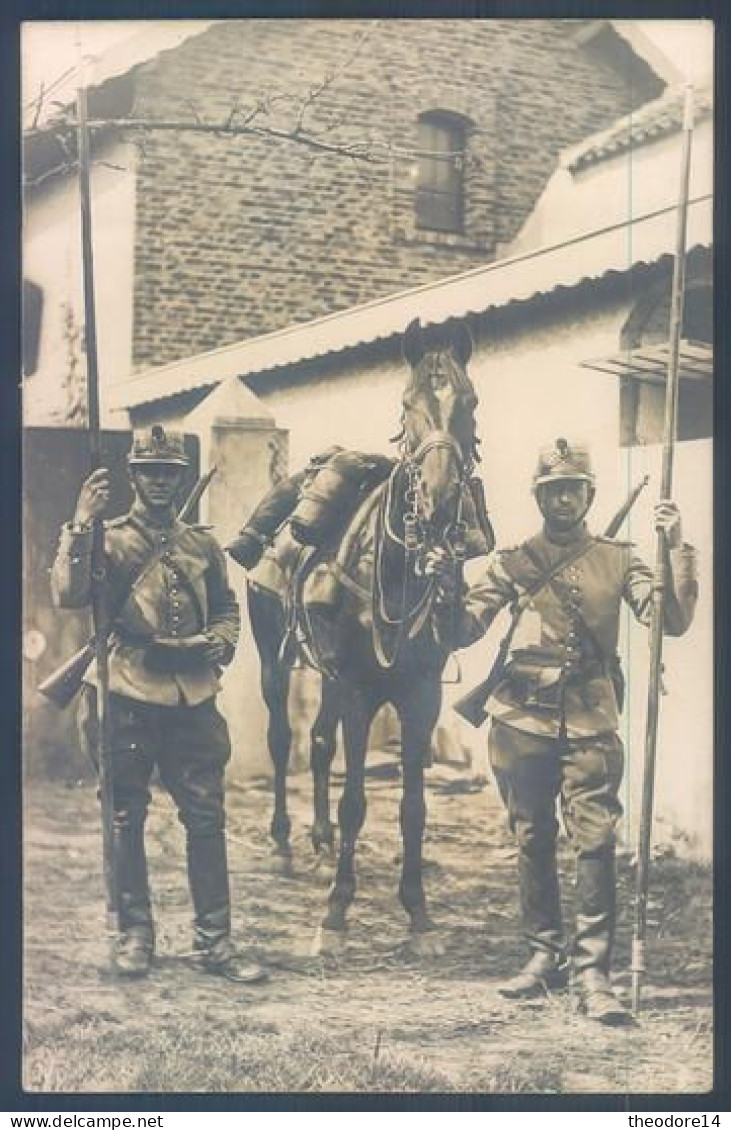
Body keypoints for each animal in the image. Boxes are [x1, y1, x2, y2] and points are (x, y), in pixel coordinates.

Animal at [242, 318, 488, 953]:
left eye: (471, 403)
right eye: (407, 404)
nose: (440, 502)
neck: (399, 568)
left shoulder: (419, 696)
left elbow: (413, 806)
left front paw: (418, 911)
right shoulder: (358, 690)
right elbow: (356, 800)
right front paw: (336, 912)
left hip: (328, 676)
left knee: (318, 742)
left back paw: (321, 840)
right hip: (274, 659)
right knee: (283, 737)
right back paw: (283, 840)